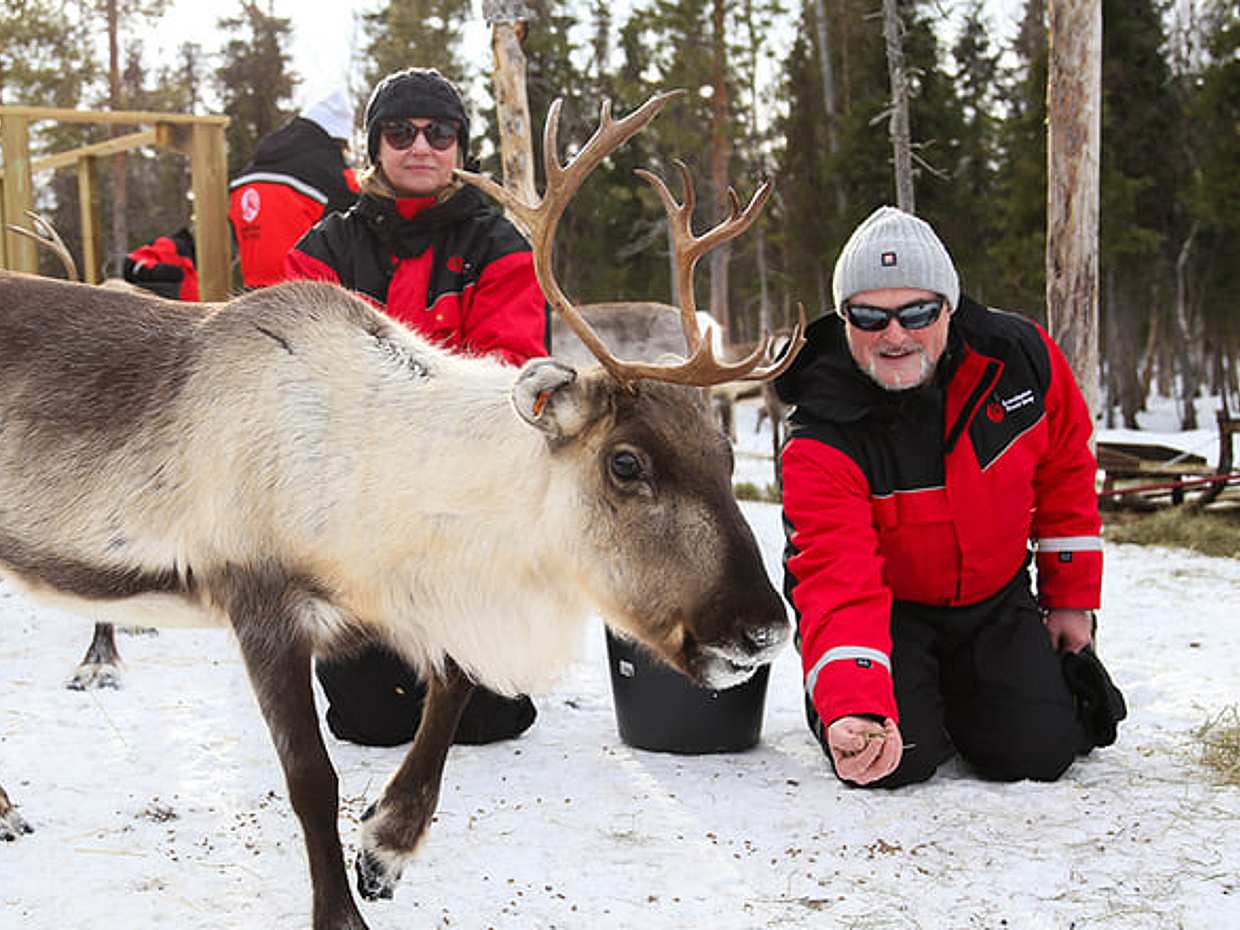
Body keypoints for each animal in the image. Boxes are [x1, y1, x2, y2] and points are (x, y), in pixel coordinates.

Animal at [0, 91, 806, 929]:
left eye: (724, 453)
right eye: (626, 463)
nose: (763, 629)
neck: (380, 466)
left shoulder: (408, 595)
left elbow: (451, 691)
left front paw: (385, 844)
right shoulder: (261, 602)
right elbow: (311, 777)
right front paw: (342, 907)